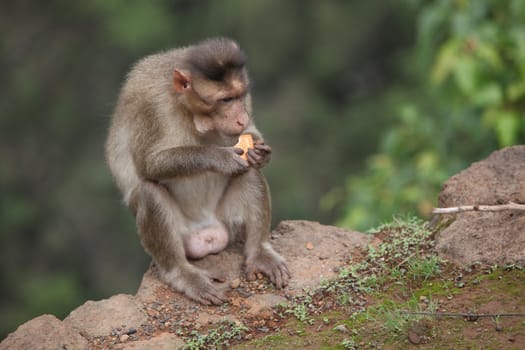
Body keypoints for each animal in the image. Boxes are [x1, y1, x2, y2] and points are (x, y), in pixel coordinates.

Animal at [104, 38, 288, 304]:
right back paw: (183, 274)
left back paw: (260, 253)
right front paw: (220, 157)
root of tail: (208, 234)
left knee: (249, 172)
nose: (240, 118)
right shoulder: (151, 106)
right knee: (150, 191)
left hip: (227, 220)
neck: (189, 111)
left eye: (239, 96)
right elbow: (148, 164)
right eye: (225, 100)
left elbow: (250, 139)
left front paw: (260, 152)